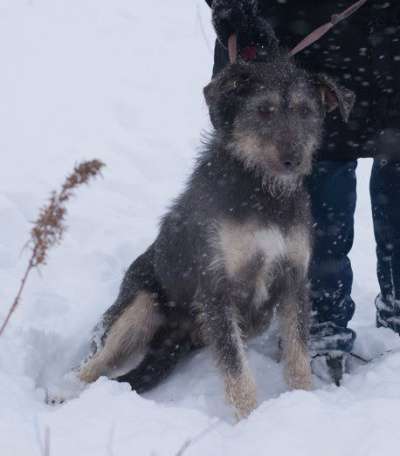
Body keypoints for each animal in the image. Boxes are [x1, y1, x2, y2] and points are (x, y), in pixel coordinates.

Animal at [77, 51, 354, 418]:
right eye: (263, 110)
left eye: (305, 111)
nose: (292, 160)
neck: (263, 191)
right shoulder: (216, 288)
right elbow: (236, 370)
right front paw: (251, 420)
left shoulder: (293, 281)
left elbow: (297, 355)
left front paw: (302, 402)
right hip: (138, 307)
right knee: (94, 362)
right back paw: (65, 393)